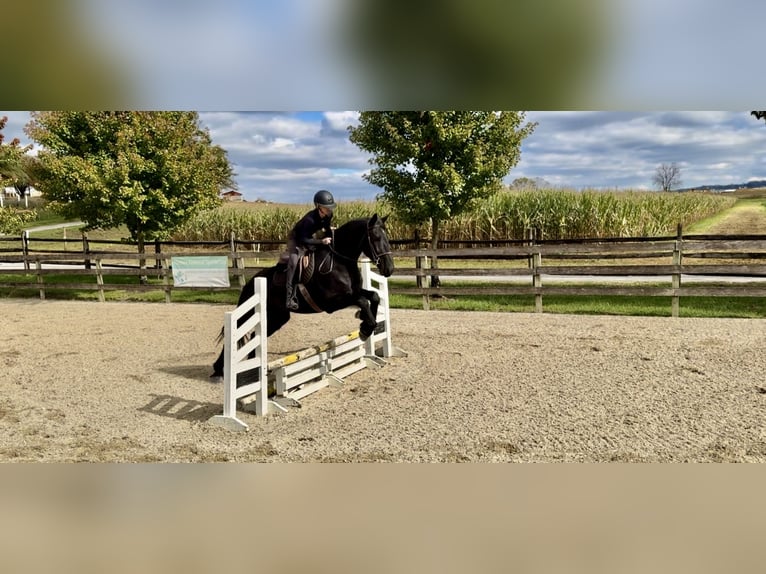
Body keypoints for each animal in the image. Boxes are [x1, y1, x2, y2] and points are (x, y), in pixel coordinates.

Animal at [211, 214, 394, 378]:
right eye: (376, 237)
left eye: (387, 237)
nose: (389, 269)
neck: (340, 261)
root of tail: (252, 281)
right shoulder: (332, 302)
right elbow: (363, 301)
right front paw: (365, 327)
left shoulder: (354, 292)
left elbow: (374, 296)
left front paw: (365, 321)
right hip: (257, 313)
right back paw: (220, 370)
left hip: (277, 318)